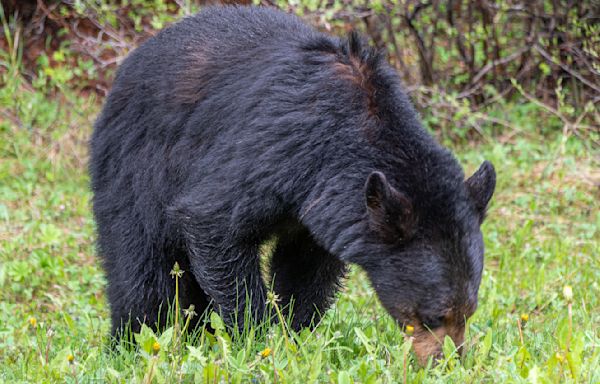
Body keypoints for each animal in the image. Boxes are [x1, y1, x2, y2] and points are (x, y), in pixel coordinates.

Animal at [90, 5, 496, 364]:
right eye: (432, 316)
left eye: (469, 312)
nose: (448, 362)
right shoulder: (273, 151)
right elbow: (212, 222)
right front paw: (256, 337)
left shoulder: (320, 208)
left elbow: (306, 269)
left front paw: (293, 336)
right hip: (134, 171)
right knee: (142, 274)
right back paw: (131, 342)